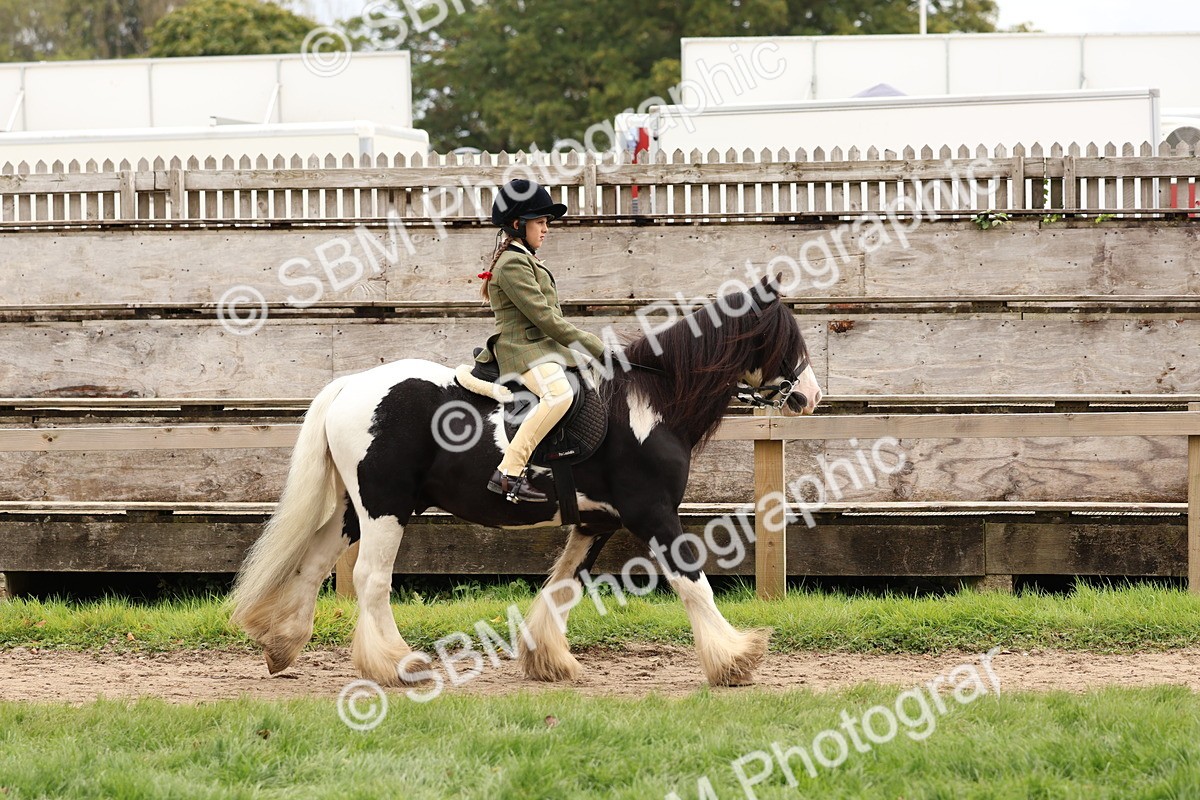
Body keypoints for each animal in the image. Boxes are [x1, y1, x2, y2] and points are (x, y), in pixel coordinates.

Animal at [230, 274, 823, 688]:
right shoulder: (651, 513)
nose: (810, 396)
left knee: (313, 564)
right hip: (386, 507)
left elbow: (562, 585)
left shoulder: (596, 521)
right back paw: (398, 665)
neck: (649, 404)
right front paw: (735, 660)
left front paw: (548, 660)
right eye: (787, 339)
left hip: (358, 509)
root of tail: (353, 385)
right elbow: (692, 581)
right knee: (370, 580)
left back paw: (282, 645)